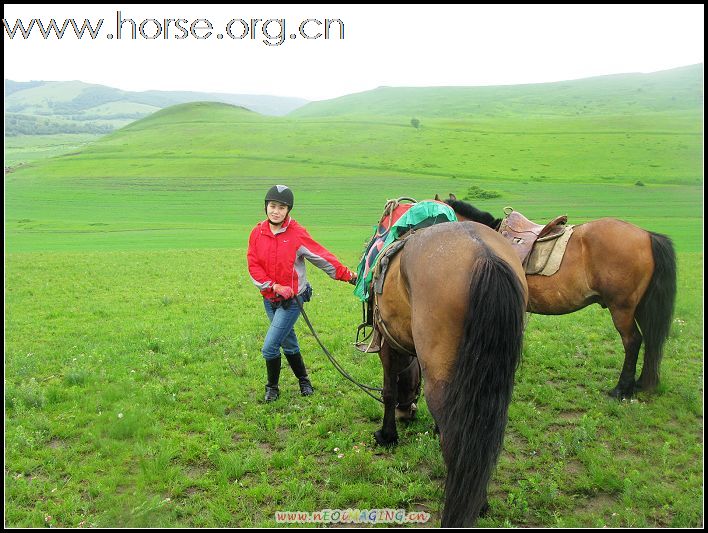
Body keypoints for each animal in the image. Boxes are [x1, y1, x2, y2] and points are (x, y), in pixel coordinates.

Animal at [374, 222, 528, 524]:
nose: (406, 414)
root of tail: (484, 255)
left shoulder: (389, 343)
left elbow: (388, 391)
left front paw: (388, 435)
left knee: (457, 441)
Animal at [446, 193, 676, 396]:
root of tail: (647, 235)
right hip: (642, 307)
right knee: (650, 340)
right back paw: (640, 384)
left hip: (622, 308)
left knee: (632, 341)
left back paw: (622, 389)